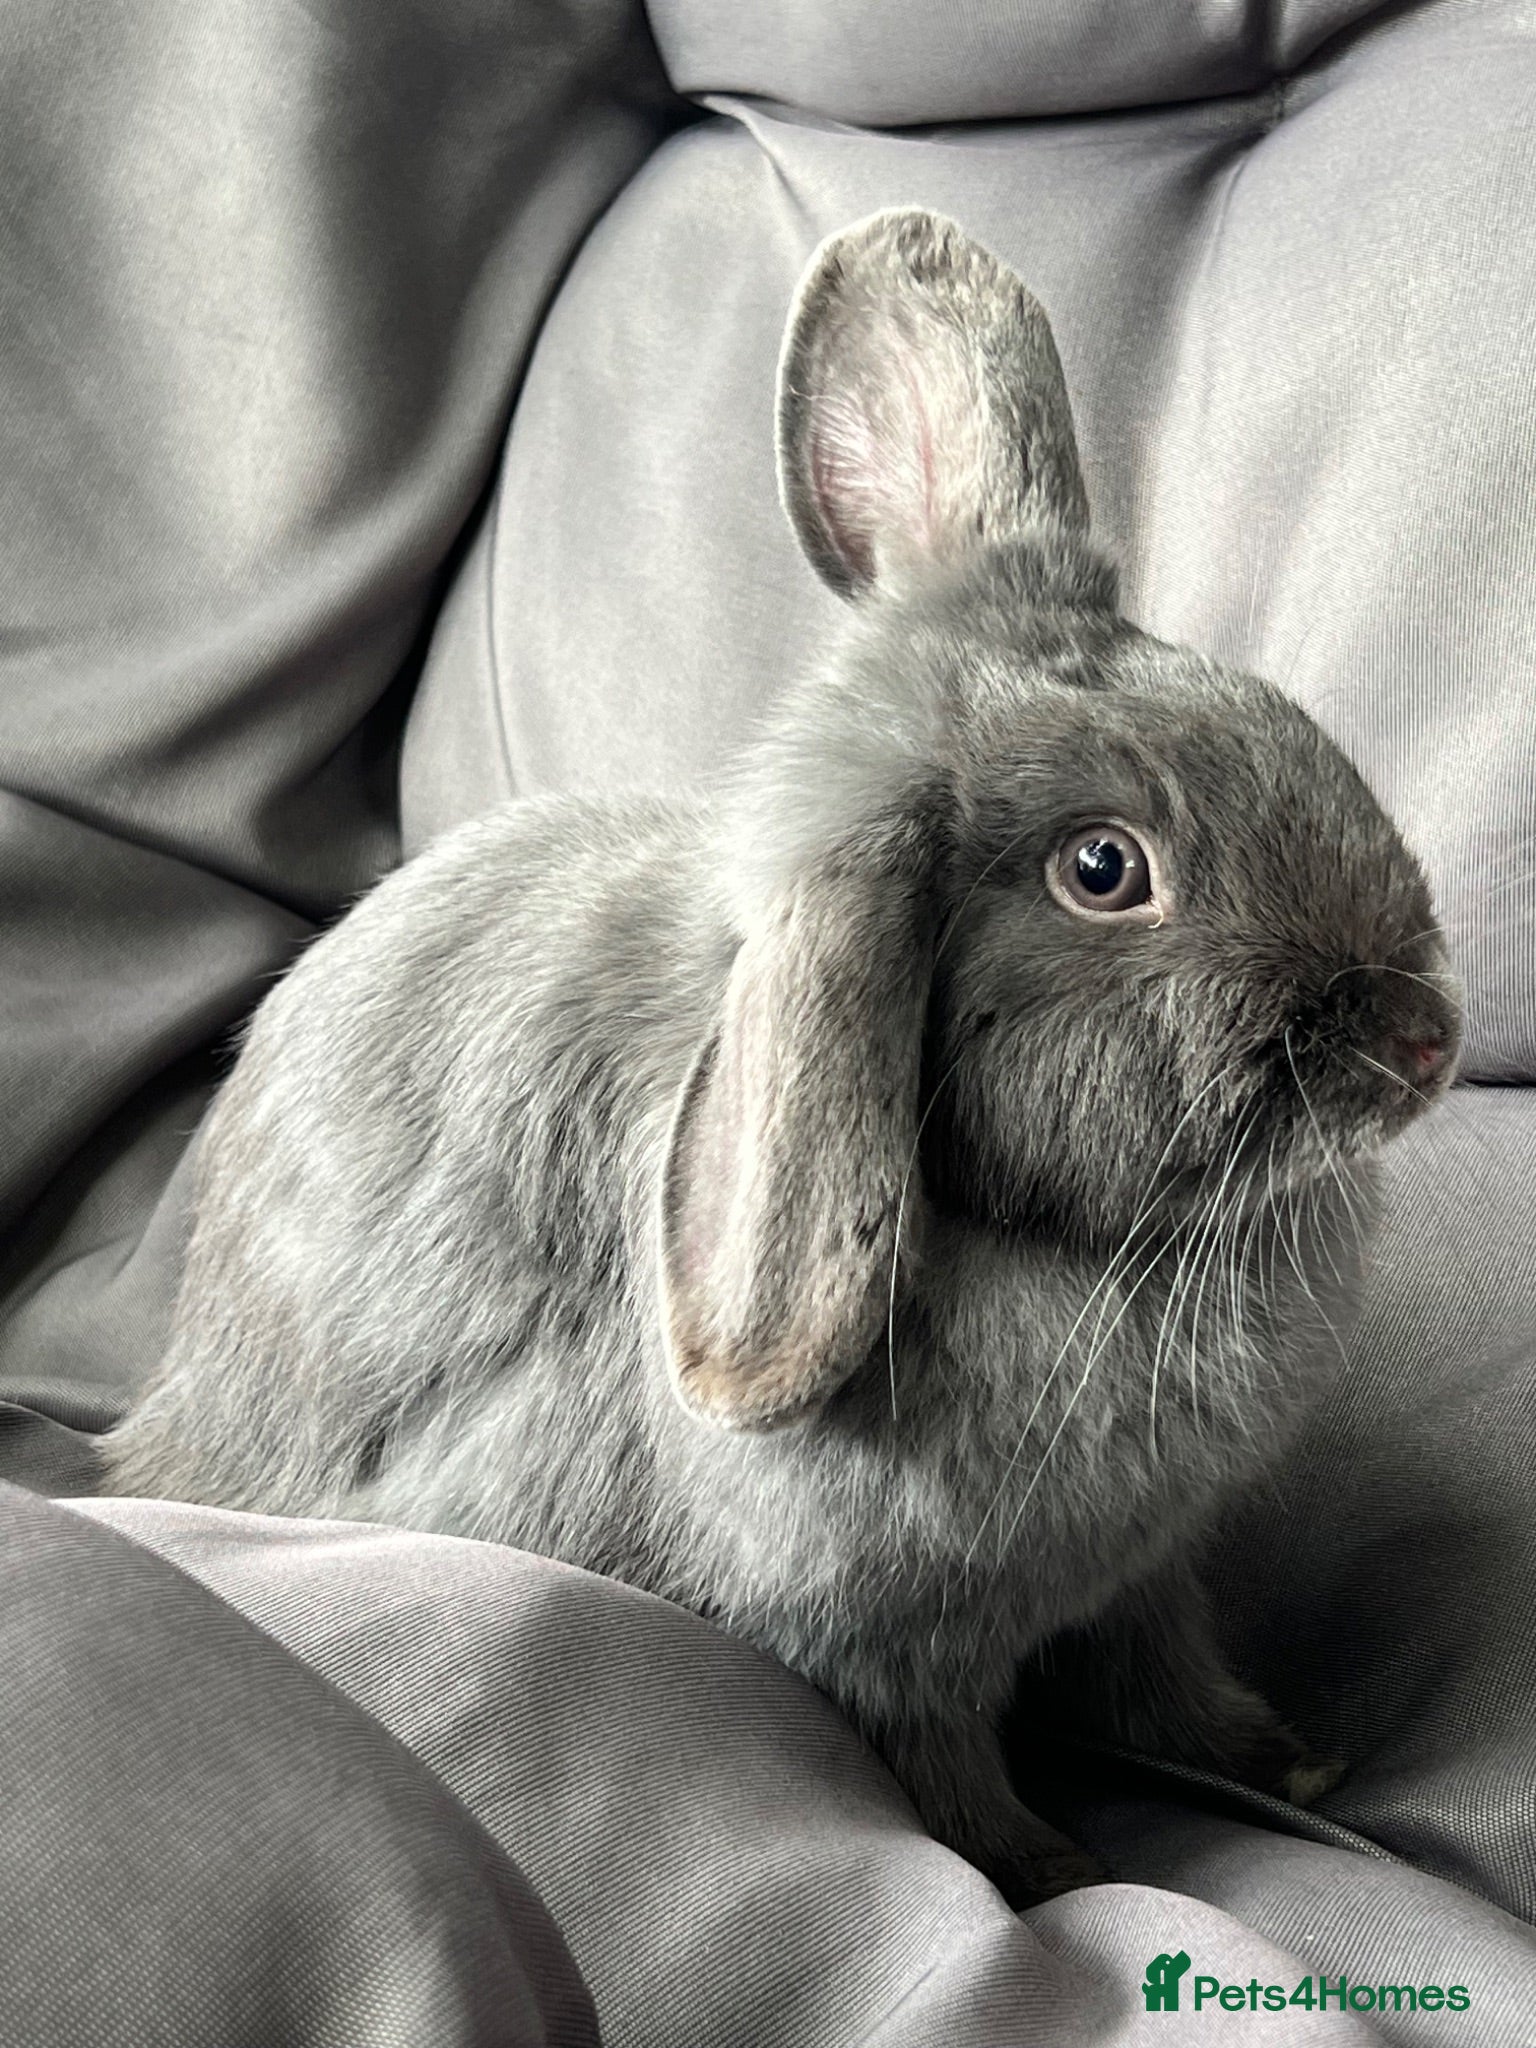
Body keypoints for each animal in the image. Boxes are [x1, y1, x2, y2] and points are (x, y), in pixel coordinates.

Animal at [101, 209, 1462, 1906]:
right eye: (1103, 869)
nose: (1426, 1039)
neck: (1054, 1244)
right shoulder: (893, 1648)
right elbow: (948, 1781)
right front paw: (1055, 1873)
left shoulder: (1144, 1576)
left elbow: (1168, 1674)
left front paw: (1293, 1765)